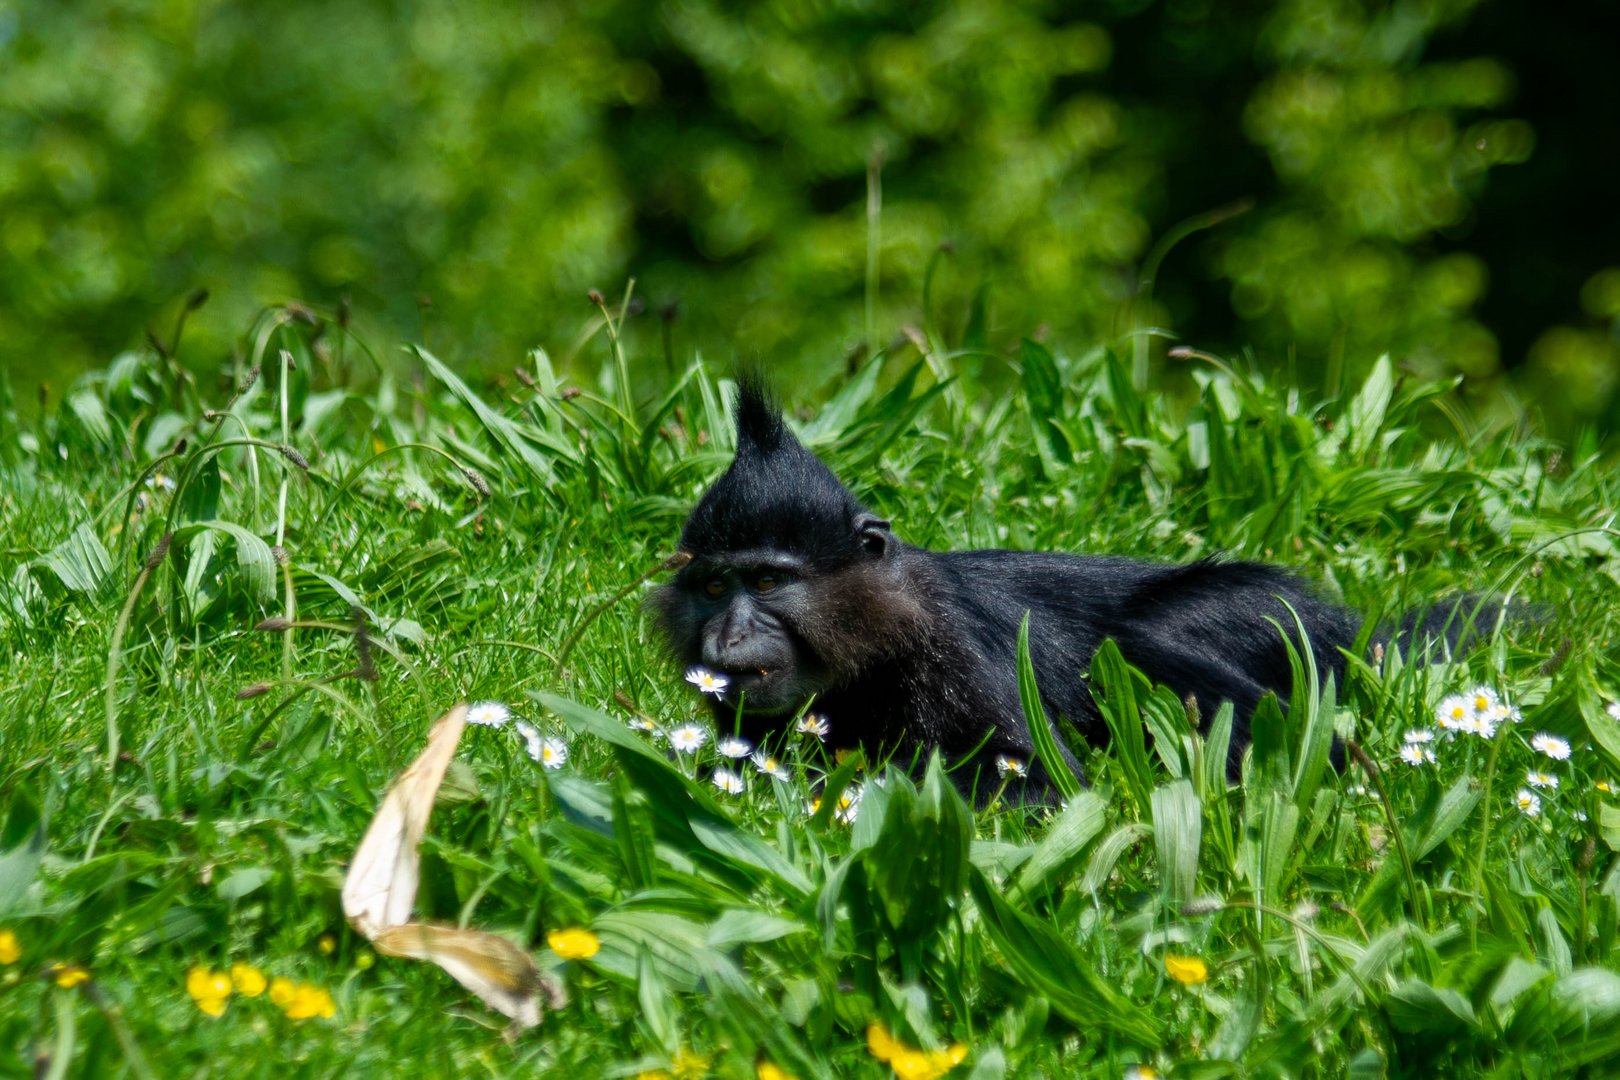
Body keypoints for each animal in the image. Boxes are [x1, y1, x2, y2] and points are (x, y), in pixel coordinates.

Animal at [651, 378, 1438, 793]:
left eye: (767, 579)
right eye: (716, 587)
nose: (728, 635)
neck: (879, 637)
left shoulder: (956, 649)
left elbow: (1040, 789)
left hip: (1271, 622)